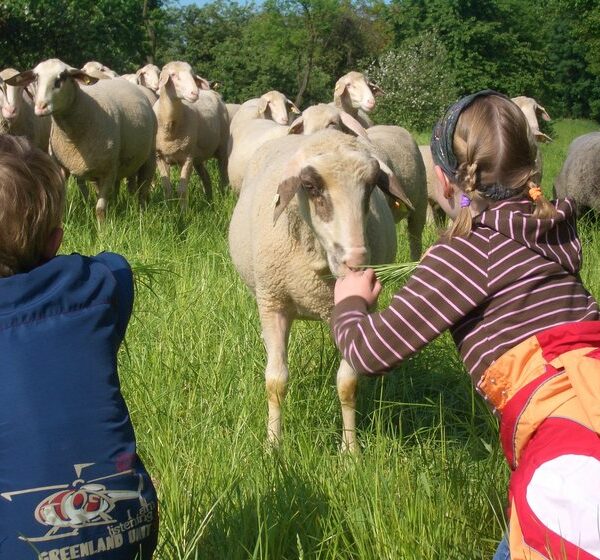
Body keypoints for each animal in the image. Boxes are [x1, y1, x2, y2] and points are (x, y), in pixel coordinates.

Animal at [7, 58, 157, 221]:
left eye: (62, 78)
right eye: (36, 78)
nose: (40, 107)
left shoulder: (108, 170)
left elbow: (100, 209)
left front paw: (102, 228)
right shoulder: (62, 167)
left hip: (148, 158)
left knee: (142, 190)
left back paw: (141, 213)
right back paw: (117, 206)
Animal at [154, 61, 229, 206]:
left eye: (193, 76)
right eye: (173, 75)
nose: (195, 92)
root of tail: (212, 92)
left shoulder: (187, 157)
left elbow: (182, 190)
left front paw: (183, 210)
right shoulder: (160, 156)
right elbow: (167, 188)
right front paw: (168, 208)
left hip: (222, 146)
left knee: (223, 177)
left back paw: (224, 198)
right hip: (198, 157)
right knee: (206, 177)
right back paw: (209, 201)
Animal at [227, 129, 406, 452]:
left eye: (371, 186)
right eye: (310, 186)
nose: (356, 263)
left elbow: (348, 383)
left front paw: (350, 450)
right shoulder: (272, 302)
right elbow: (276, 381)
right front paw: (273, 446)